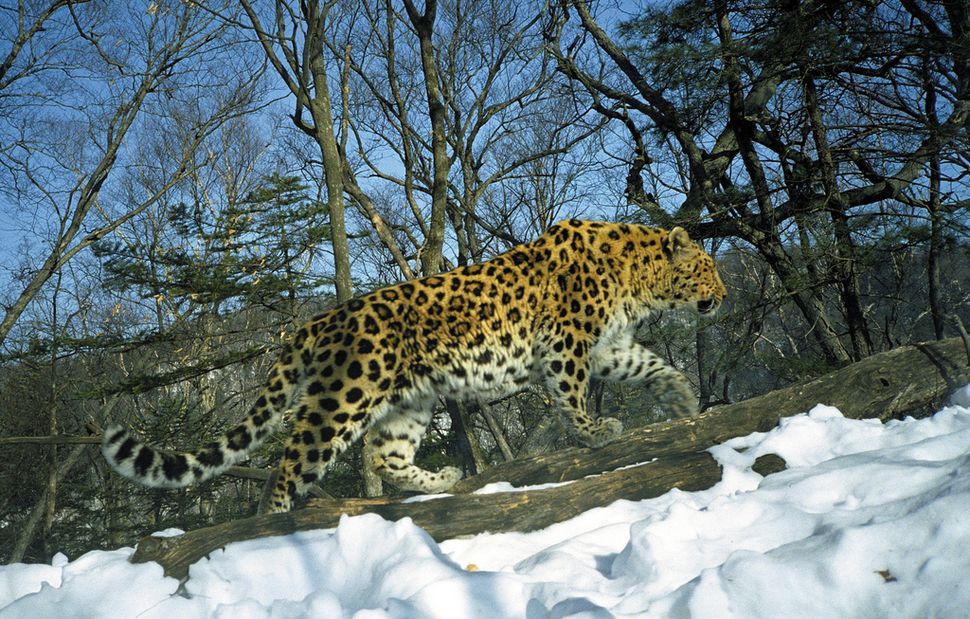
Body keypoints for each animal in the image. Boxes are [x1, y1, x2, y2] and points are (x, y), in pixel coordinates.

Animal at [104, 219, 728, 512]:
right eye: (707, 269)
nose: (722, 296)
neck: (639, 279)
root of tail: (319, 321)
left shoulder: (605, 346)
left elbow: (649, 364)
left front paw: (681, 399)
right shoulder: (567, 344)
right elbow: (572, 397)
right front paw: (597, 433)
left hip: (410, 400)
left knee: (386, 454)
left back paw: (443, 480)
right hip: (345, 396)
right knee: (291, 463)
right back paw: (270, 524)